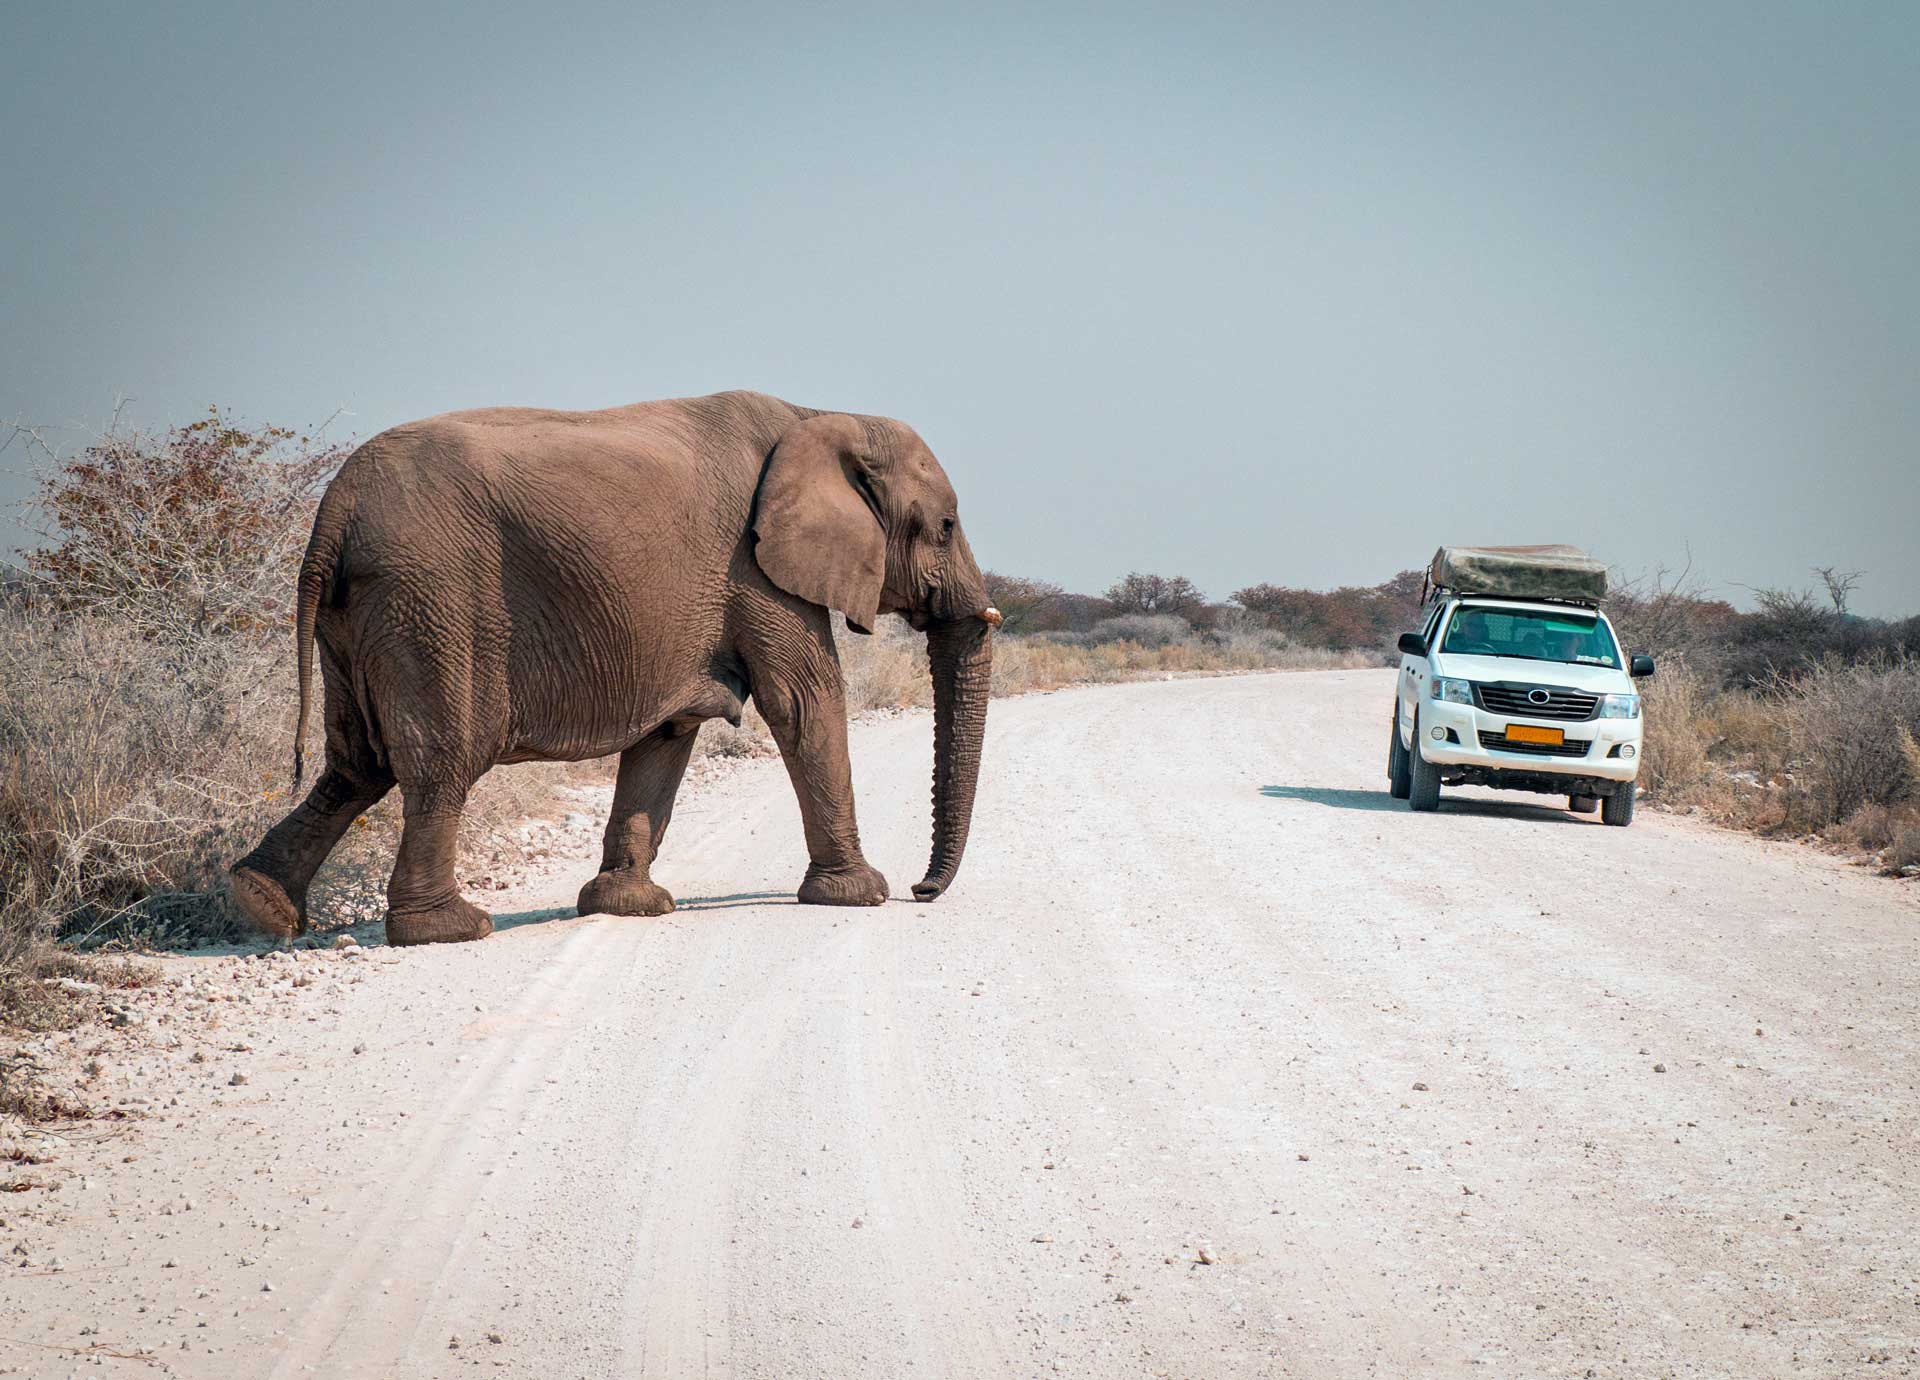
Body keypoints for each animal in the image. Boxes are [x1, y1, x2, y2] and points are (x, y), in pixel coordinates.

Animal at [229, 390, 1000, 946]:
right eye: (946, 526)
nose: (922, 891)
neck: (820, 415)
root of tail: (332, 515)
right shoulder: (756, 572)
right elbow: (805, 701)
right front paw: (859, 893)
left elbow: (669, 731)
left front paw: (629, 907)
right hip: (430, 602)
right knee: (438, 761)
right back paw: (449, 929)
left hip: (357, 615)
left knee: (355, 762)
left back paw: (262, 904)